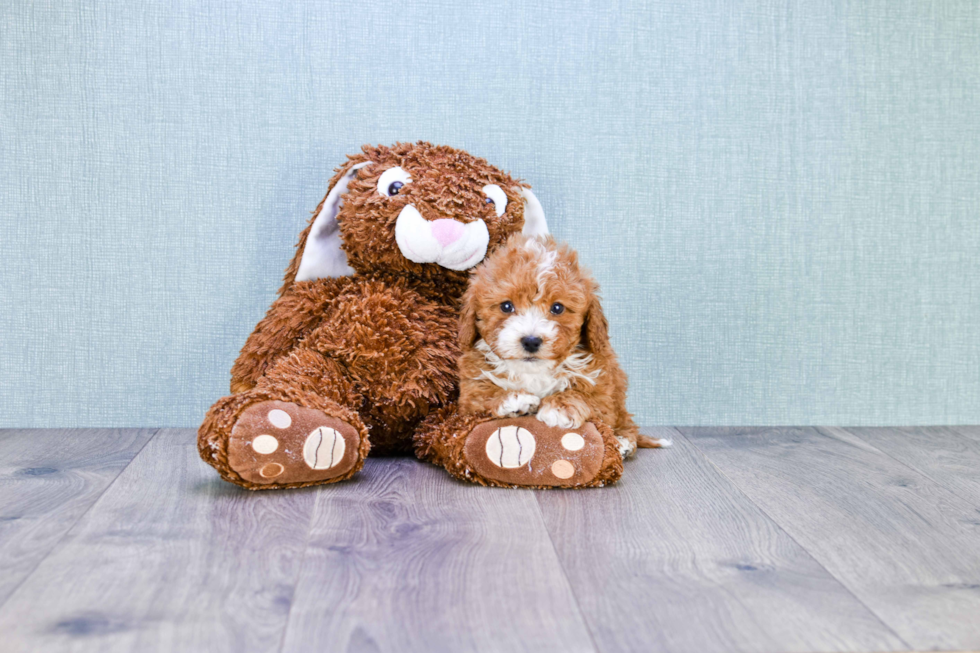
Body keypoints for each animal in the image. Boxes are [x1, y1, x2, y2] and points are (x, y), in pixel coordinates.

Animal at [460, 232, 672, 456]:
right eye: (506, 306)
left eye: (557, 308)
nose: (531, 341)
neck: (534, 371)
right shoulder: (468, 393)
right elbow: (481, 394)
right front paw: (513, 399)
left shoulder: (603, 390)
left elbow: (585, 395)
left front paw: (560, 407)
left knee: (627, 422)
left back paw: (622, 442)